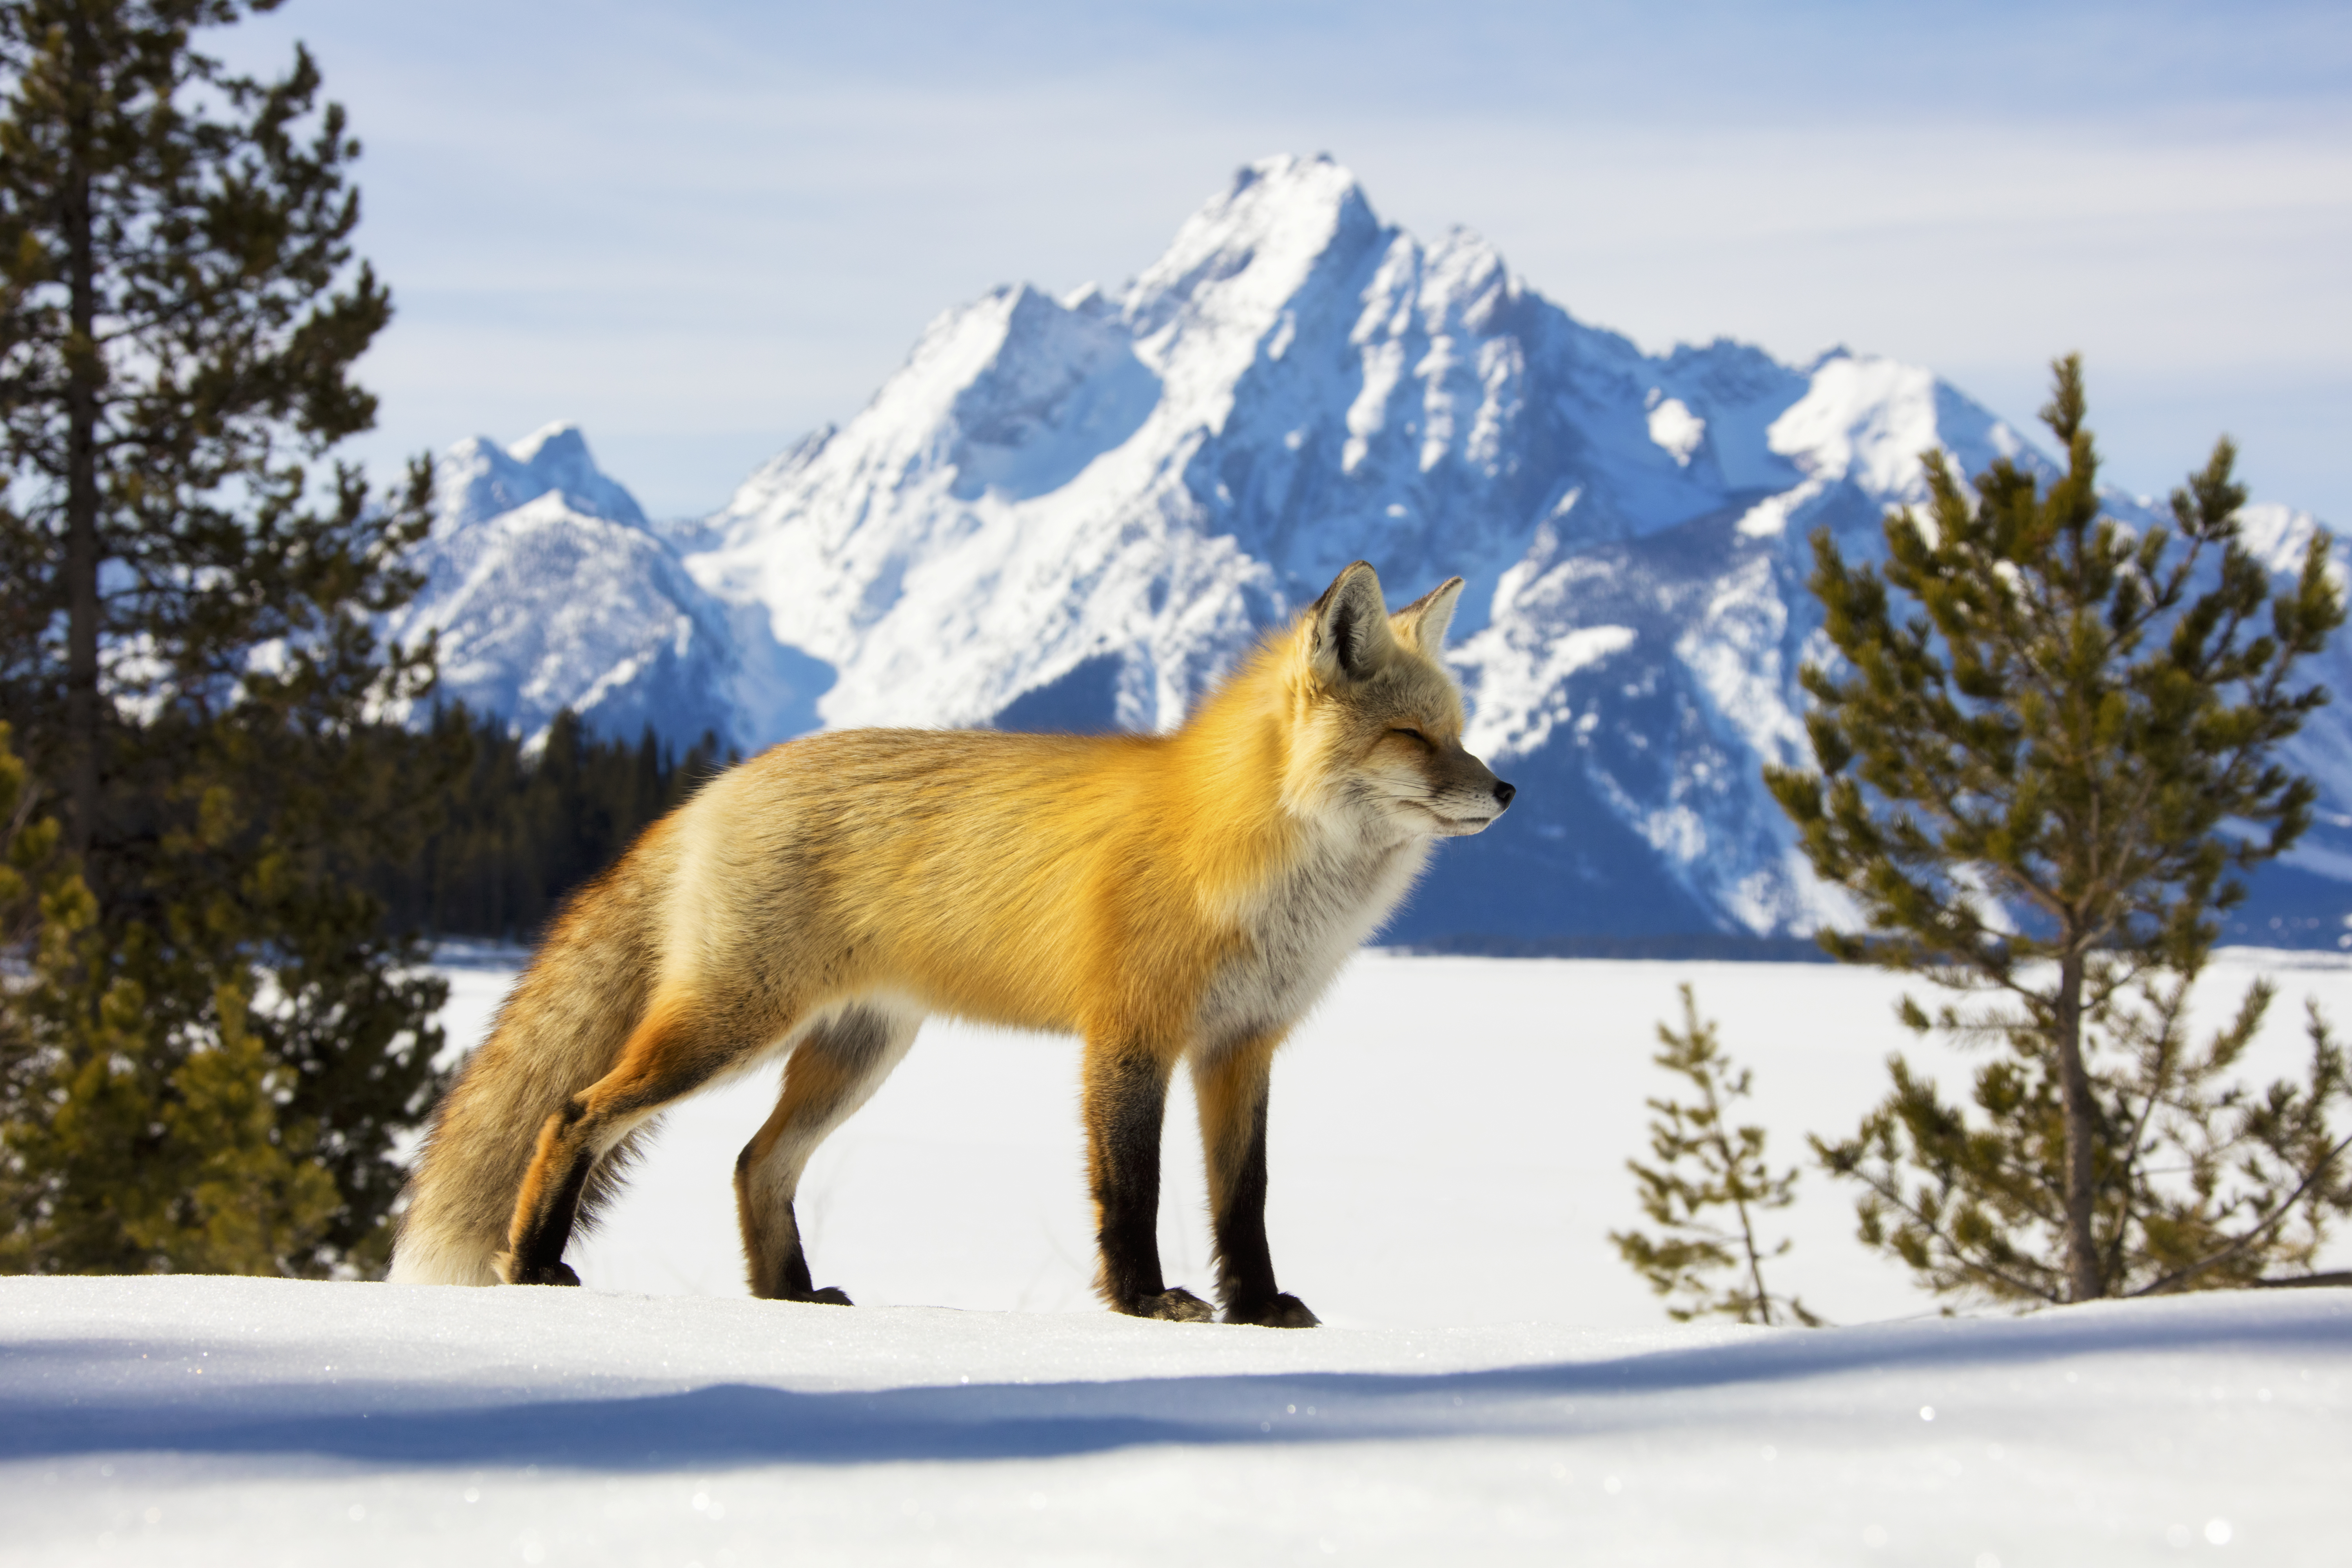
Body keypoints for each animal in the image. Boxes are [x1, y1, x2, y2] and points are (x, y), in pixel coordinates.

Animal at [387, 561, 1513, 1325]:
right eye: (1413, 740)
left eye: (1459, 733)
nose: (1507, 790)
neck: (1252, 858)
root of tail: (715, 786)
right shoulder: (1132, 1036)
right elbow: (1133, 1192)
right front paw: (1145, 1303)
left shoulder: (1241, 1046)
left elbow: (1246, 1202)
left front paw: (1262, 1310)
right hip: (731, 1029)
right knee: (578, 1111)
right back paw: (535, 1266)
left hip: (856, 1053)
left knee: (756, 1163)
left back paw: (786, 1299)